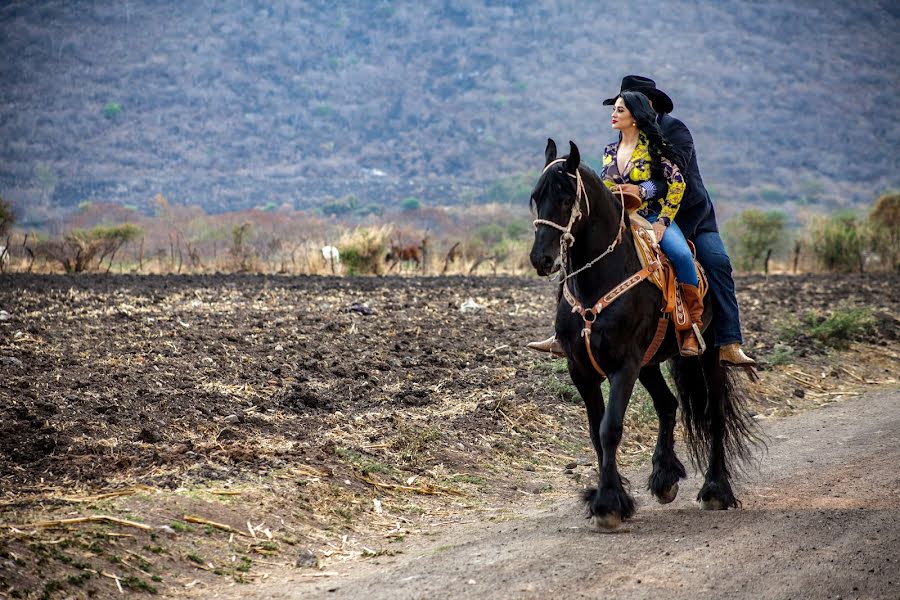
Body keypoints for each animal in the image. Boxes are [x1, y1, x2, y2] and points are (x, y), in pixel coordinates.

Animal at [532, 139, 756, 528]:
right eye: (535, 197)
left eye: (565, 198)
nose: (541, 259)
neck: (599, 278)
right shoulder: (581, 369)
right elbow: (595, 431)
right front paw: (609, 496)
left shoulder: (624, 364)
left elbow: (610, 428)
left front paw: (608, 504)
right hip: (650, 362)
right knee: (668, 404)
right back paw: (665, 478)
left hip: (707, 355)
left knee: (714, 414)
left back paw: (715, 490)